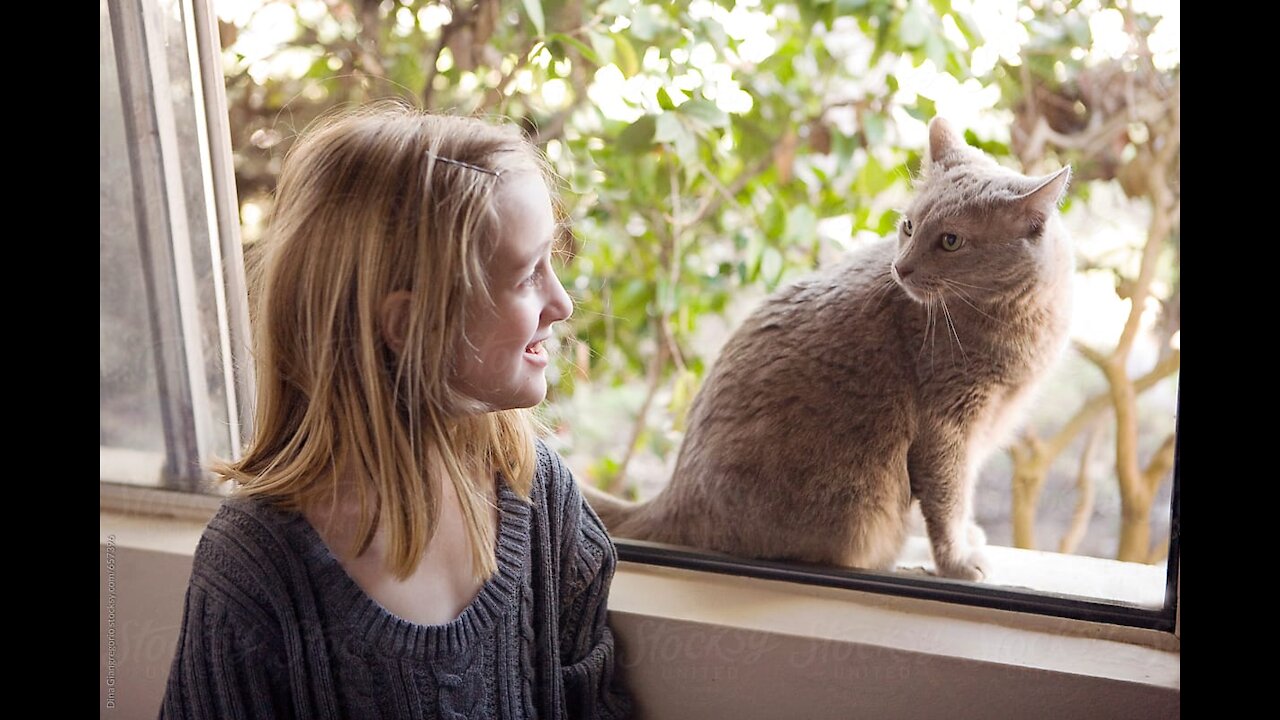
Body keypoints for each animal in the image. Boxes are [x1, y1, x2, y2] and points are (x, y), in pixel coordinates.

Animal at [586, 116, 1075, 576]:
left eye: (951, 240)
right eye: (909, 226)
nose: (901, 267)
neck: (1019, 320)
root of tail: (672, 494)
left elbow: (963, 493)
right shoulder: (947, 426)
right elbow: (947, 499)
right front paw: (957, 560)